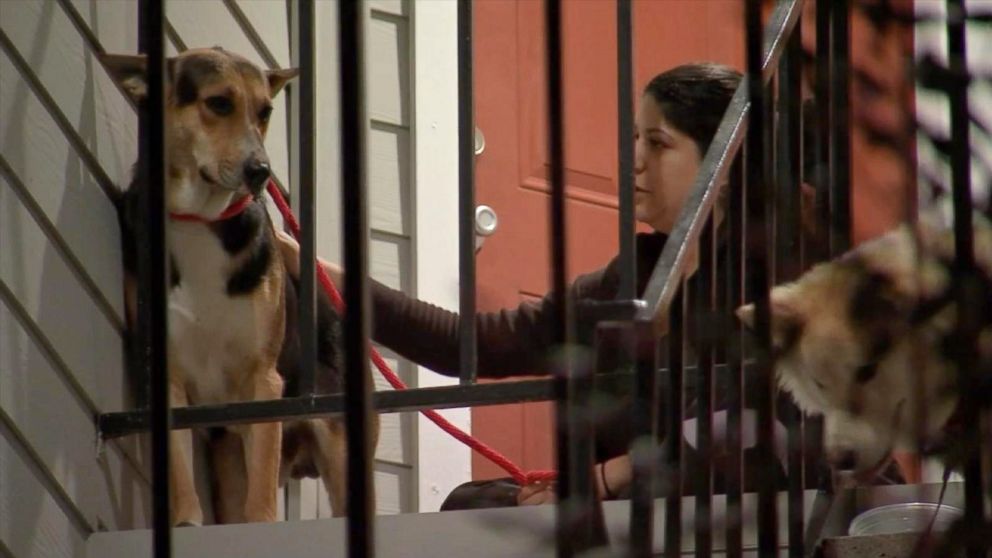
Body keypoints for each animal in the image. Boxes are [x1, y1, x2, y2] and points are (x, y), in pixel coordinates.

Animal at [103, 47, 376, 524]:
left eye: (265, 112)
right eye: (218, 103)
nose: (261, 171)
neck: (201, 218)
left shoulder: (262, 379)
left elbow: (261, 488)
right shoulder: (167, 376)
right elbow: (180, 471)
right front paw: (186, 521)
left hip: (341, 447)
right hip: (228, 452)